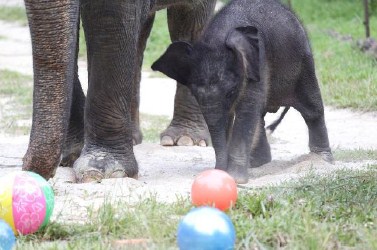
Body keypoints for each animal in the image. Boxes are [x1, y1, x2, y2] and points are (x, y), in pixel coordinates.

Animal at [22, 0, 216, 183]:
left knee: (189, 24)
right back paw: (134, 138)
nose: (26, 168)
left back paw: (186, 139)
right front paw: (74, 155)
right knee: (142, 36)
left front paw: (102, 172)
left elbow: (111, 19)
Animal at [151, 0, 330, 183]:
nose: (219, 171)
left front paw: (236, 179)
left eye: (231, 93)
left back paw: (321, 160)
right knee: (260, 117)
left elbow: (246, 111)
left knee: (311, 109)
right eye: (195, 95)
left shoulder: (257, 63)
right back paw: (257, 164)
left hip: (303, 62)